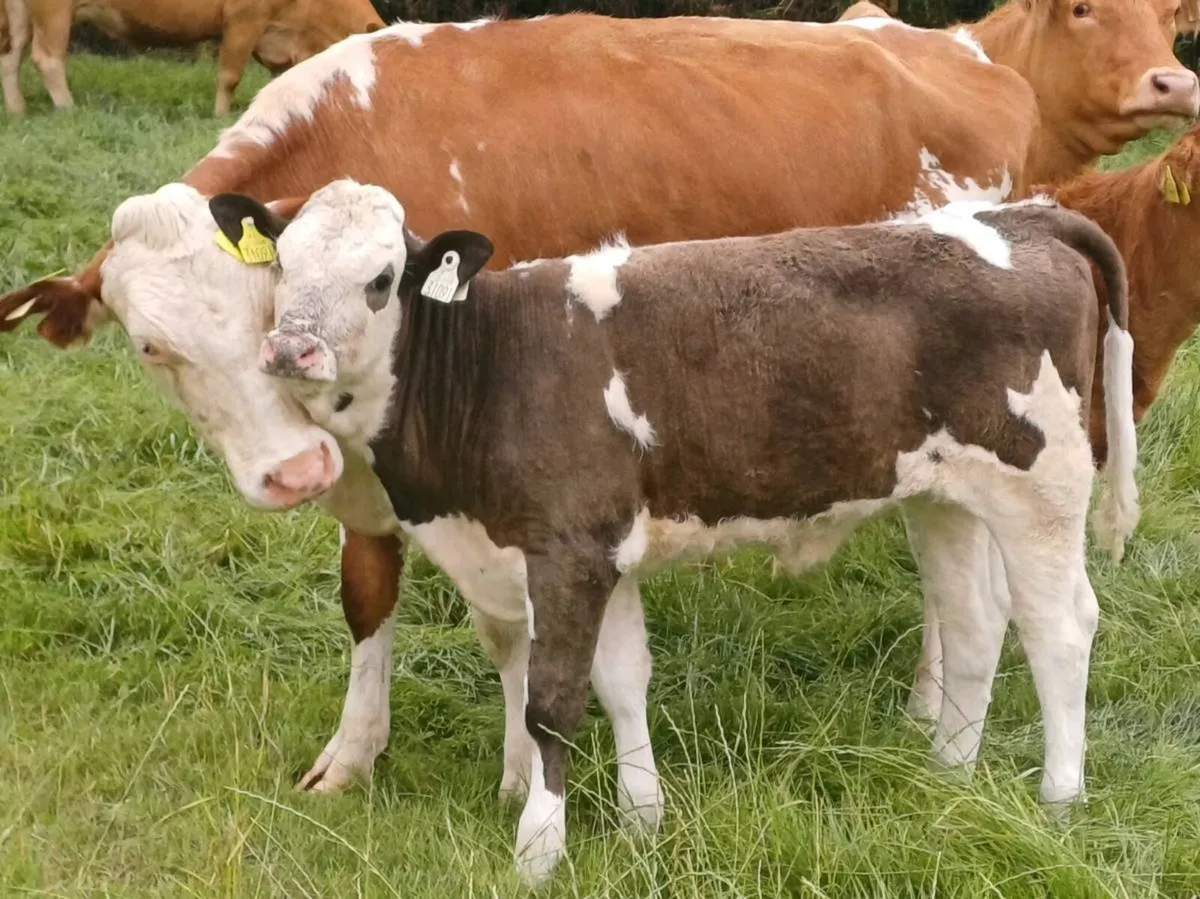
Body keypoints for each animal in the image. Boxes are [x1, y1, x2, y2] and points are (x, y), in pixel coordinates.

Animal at [0, 0, 384, 116]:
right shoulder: (244, 18)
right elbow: (230, 74)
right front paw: (220, 116)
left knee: (11, 57)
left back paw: (18, 111)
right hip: (54, 11)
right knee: (47, 58)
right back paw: (68, 108)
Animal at [184, 180, 1137, 883]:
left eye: (382, 279)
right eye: (282, 264)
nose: (292, 350)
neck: (490, 366)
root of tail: (1019, 216)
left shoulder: (567, 549)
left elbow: (554, 702)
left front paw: (540, 847)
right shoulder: (596, 549)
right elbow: (622, 680)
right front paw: (644, 818)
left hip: (1041, 484)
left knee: (1059, 628)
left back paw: (1060, 796)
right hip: (946, 495)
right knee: (975, 625)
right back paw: (947, 777)